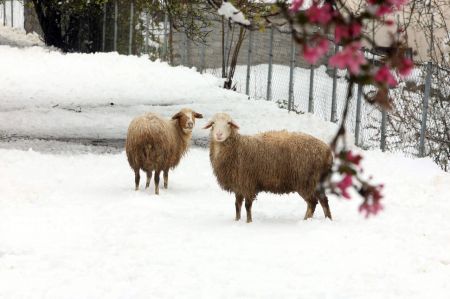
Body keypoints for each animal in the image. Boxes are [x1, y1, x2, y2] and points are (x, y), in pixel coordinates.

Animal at [205, 113, 334, 224]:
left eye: (229, 123)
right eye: (213, 123)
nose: (219, 134)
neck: (237, 148)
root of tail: (327, 152)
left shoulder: (248, 183)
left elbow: (247, 205)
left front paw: (249, 222)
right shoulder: (238, 185)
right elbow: (237, 205)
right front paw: (237, 221)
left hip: (306, 181)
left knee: (313, 202)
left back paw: (306, 220)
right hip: (315, 182)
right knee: (323, 201)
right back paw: (328, 219)